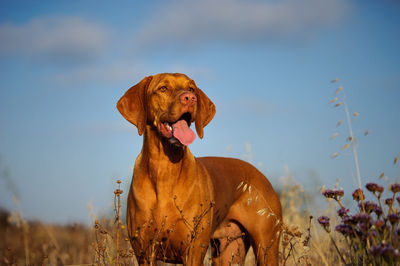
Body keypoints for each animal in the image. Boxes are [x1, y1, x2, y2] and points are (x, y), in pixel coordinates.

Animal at [117, 72, 282, 264]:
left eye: (191, 88)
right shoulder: (144, 252)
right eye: (163, 88)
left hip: (266, 247)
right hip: (228, 251)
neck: (164, 169)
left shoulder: (193, 250)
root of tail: (261, 175)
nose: (190, 98)